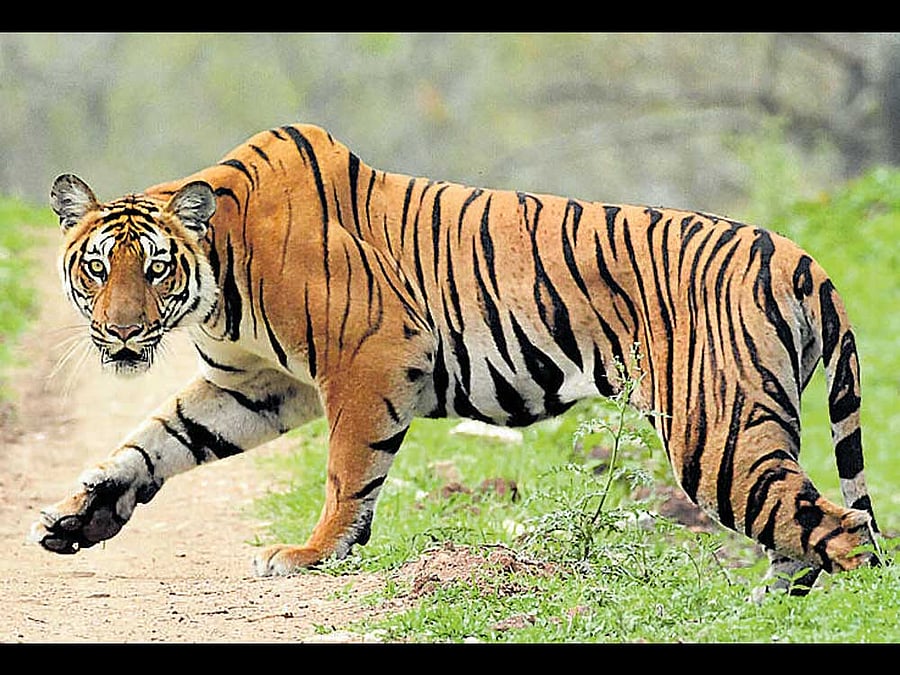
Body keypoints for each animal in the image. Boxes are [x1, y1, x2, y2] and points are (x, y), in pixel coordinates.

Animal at [31, 122, 880, 596]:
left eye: (155, 269)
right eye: (98, 268)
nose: (122, 334)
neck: (216, 277)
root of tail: (802, 257)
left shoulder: (369, 354)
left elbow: (346, 470)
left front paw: (311, 553)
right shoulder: (255, 384)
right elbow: (154, 441)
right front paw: (80, 515)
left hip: (717, 430)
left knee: (843, 529)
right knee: (803, 535)